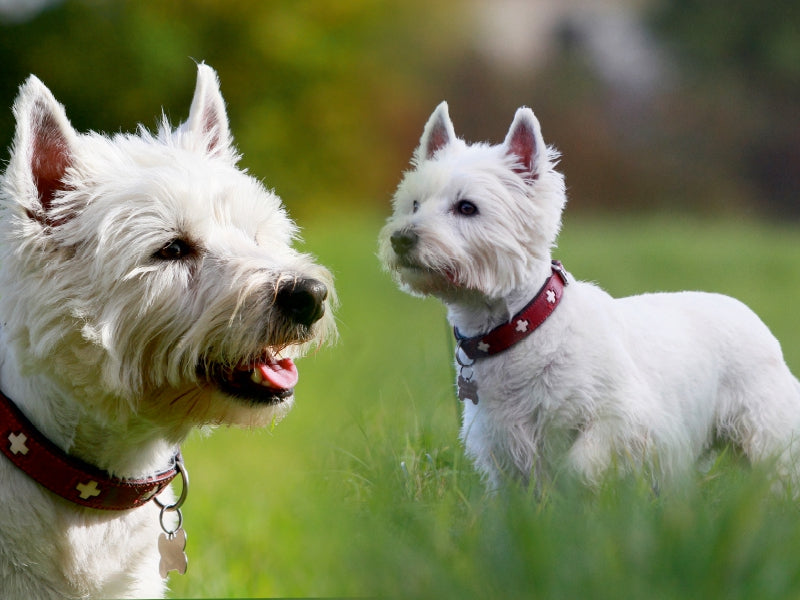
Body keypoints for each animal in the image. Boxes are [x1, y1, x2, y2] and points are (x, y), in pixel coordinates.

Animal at [380, 102, 800, 492]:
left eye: (467, 207)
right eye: (414, 204)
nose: (401, 239)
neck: (519, 328)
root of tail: (746, 311)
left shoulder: (621, 417)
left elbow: (580, 465)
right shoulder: (501, 443)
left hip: (765, 430)